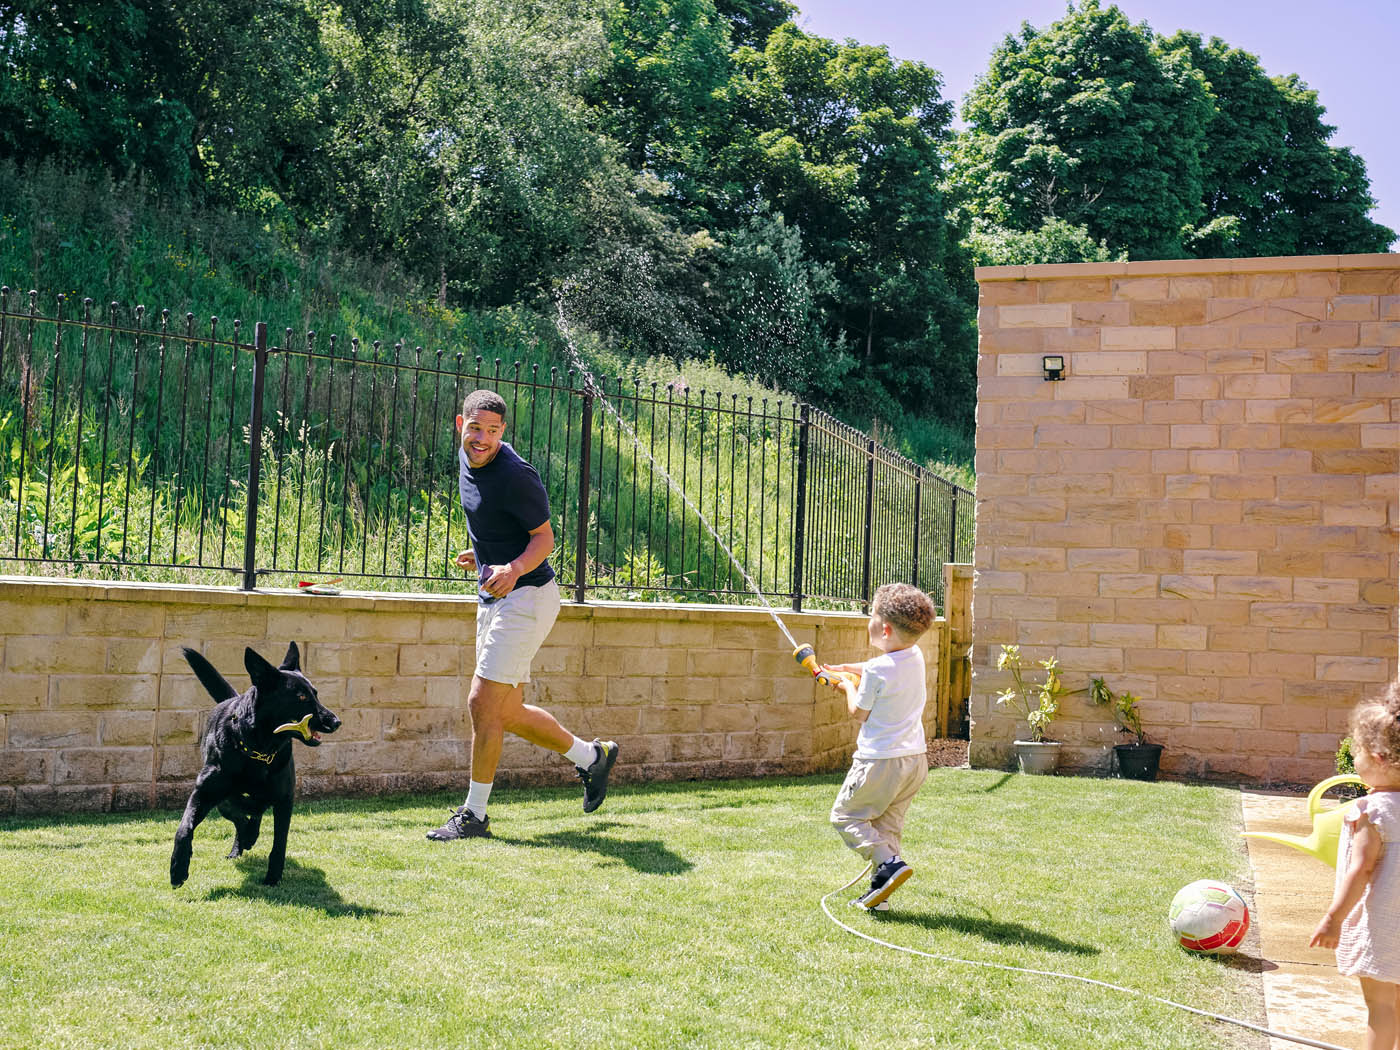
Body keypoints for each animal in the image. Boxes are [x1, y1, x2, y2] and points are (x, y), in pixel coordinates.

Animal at [170, 641, 340, 890]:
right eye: (300, 696)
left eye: (316, 694)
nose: (336, 722)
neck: (258, 750)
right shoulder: (204, 792)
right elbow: (184, 828)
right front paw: (178, 869)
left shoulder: (284, 799)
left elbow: (279, 843)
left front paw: (273, 877)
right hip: (222, 801)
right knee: (241, 817)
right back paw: (242, 842)